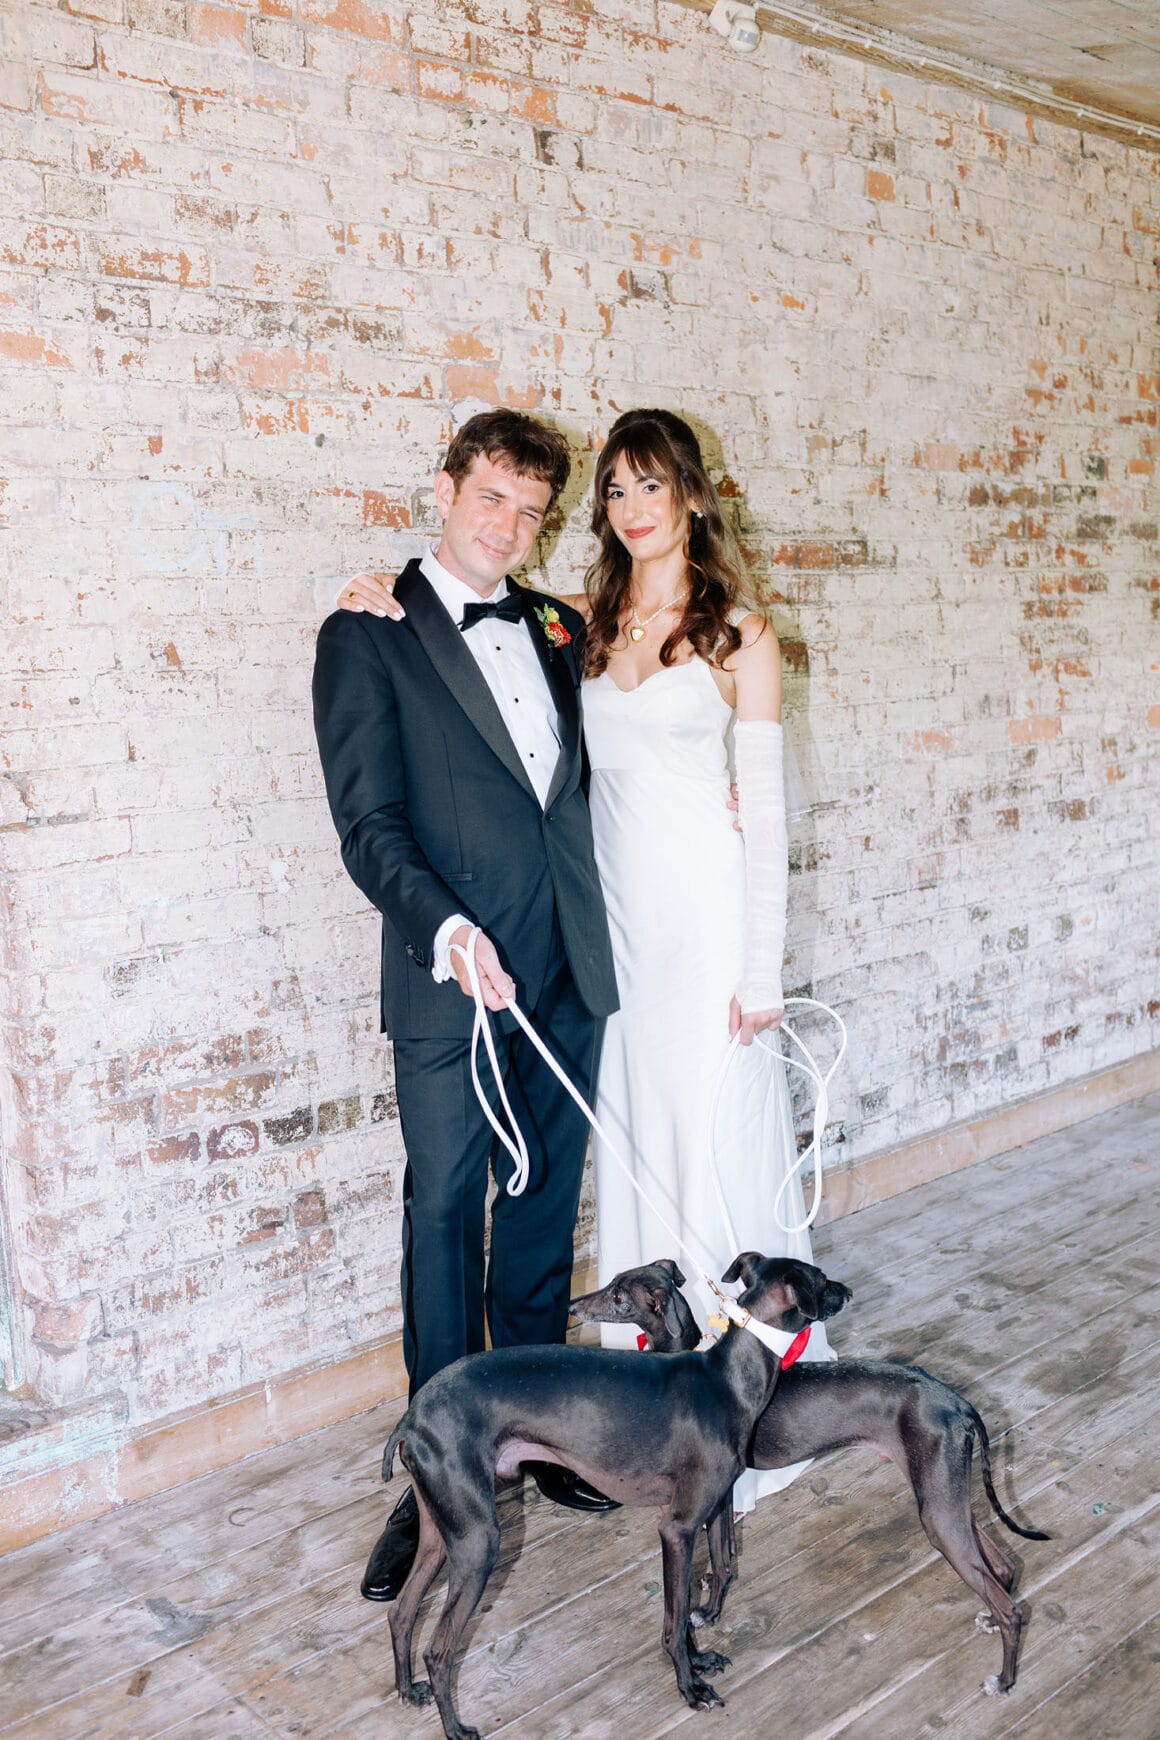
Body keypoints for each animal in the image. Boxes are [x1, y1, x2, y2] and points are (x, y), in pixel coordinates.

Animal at [382, 1253, 851, 1740]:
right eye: (819, 1280)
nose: (846, 1291)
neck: (726, 1380)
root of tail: (411, 1419)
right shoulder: (677, 1528)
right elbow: (674, 1617)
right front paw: (689, 1687)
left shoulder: (716, 1506)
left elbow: (716, 1572)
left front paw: (700, 1657)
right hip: (477, 1544)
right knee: (437, 1650)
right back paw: (455, 1728)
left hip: (440, 1533)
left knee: (401, 1612)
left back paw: (408, 1691)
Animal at [571, 1258, 1049, 1696]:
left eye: (618, 1295)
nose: (575, 1306)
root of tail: (956, 1401)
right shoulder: (721, 1495)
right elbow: (723, 1561)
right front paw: (710, 1612)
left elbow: (714, 1563)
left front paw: (701, 1623)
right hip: (945, 1494)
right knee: (1003, 1566)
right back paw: (992, 1619)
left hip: (937, 1511)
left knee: (1010, 1606)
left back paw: (1004, 1679)